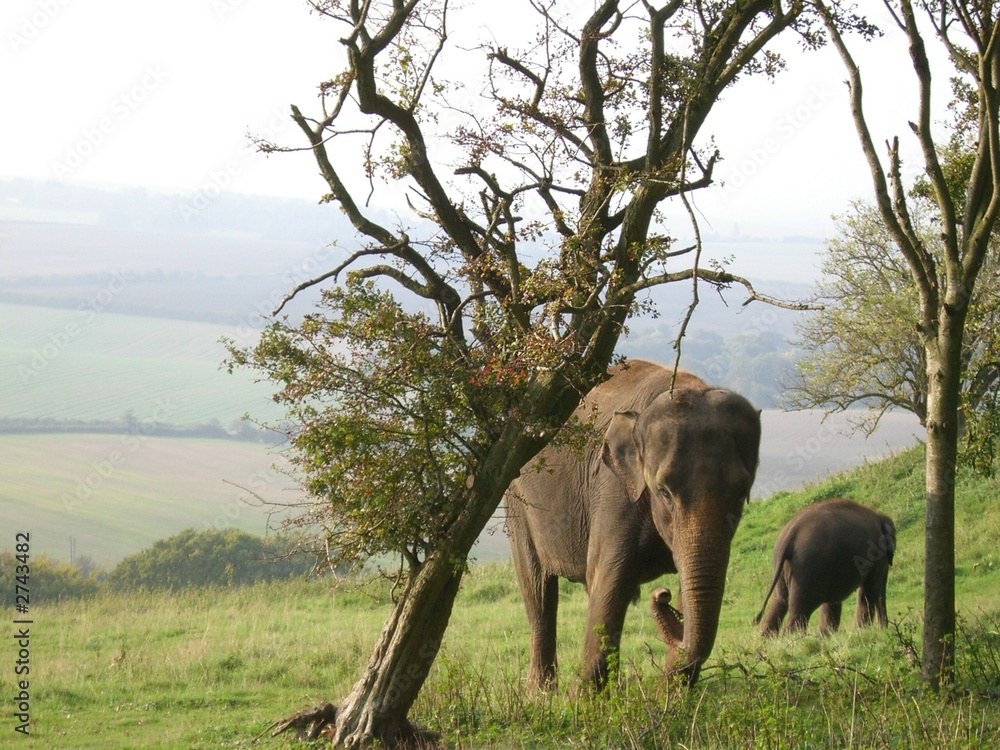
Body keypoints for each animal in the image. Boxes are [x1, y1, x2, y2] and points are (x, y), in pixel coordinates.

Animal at [503, 360, 761, 689]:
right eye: (663, 492)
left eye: (741, 493)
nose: (662, 595)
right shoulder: (613, 489)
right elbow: (609, 578)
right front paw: (584, 698)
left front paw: (672, 693)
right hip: (517, 501)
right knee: (538, 593)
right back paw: (541, 694)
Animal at [753, 497, 896, 636]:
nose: (884, 627)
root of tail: (791, 534)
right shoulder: (875, 556)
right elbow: (867, 594)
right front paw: (860, 631)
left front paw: (827, 634)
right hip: (807, 567)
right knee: (800, 607)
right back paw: (793, 638)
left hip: (785, 566)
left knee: (780, 601)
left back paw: (766, 638)